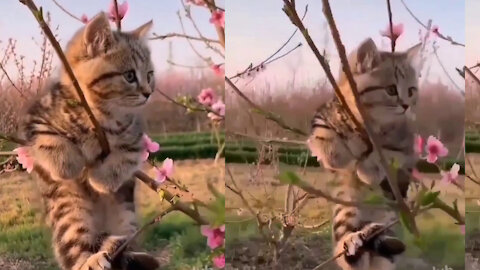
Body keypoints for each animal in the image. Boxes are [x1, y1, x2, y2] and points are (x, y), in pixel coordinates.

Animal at [21, 12, 159, 270]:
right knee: (76, 254)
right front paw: (68, 164)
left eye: (149, 75)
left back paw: (137, 255)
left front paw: (101, 180)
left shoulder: (137, 137)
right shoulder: (35, 119)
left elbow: (125, 157)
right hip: (69, 210)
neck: (102, 116)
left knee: (127, 244)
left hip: (126, 213)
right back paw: (92, 260)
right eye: (129, 76)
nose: (148, 93)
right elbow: (49, 139)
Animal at [308, 38, 420, 270]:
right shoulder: (324, 113)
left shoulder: (405, 147)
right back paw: (354, 244)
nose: (406, 105)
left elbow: (385, 153)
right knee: (346, 248)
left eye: (412, 91)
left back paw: (383, 240)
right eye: (391, 89)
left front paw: (369, 168)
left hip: (390, 209)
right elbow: (325, 131)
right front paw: (334, 151)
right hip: (345, 207)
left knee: (384, 241)